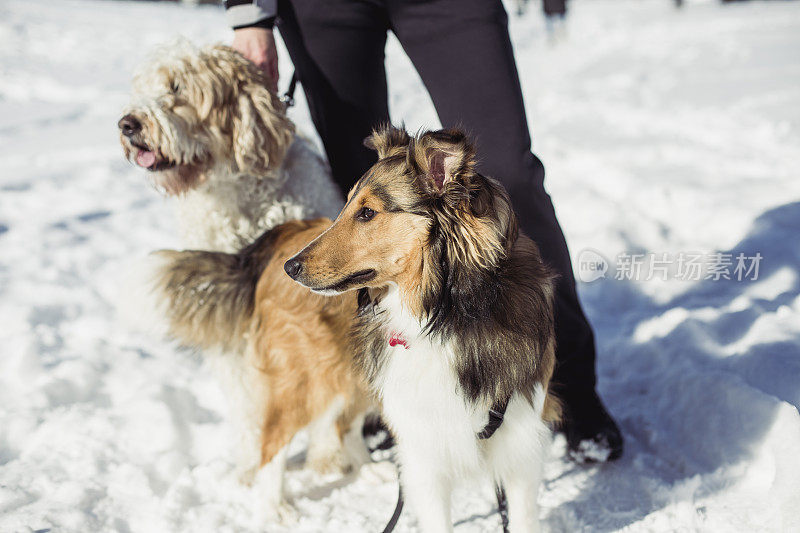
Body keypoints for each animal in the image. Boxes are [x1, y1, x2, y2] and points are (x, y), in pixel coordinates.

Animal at [144, 219, 368, 520]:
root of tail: (288, 236)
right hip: (311, 378)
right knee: (275, 442)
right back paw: (274, 509)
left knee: (345, 423)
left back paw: (370, 469)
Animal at [284, 127, 560, 528]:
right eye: (347, 205)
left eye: (367, 212)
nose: (290, 267)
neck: (441, 318)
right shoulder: (422, 449)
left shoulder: (519, 442)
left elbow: (522, 517)